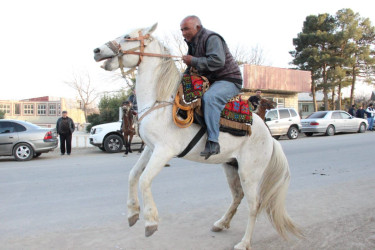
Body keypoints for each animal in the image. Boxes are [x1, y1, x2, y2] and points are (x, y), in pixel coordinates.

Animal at [94, 23, 302, 250]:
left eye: (128, 36)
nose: (97, 51)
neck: (161, 102)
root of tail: (269, 137)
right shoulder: (150, 148)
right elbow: (133, 175)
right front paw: (132, 214)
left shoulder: (164, 151)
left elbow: (144, 180)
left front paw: (150, 223)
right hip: (231, 166)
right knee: (237, 196)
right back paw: (221, 223)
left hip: (249, 172)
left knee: (254, 204)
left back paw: (244, 242)